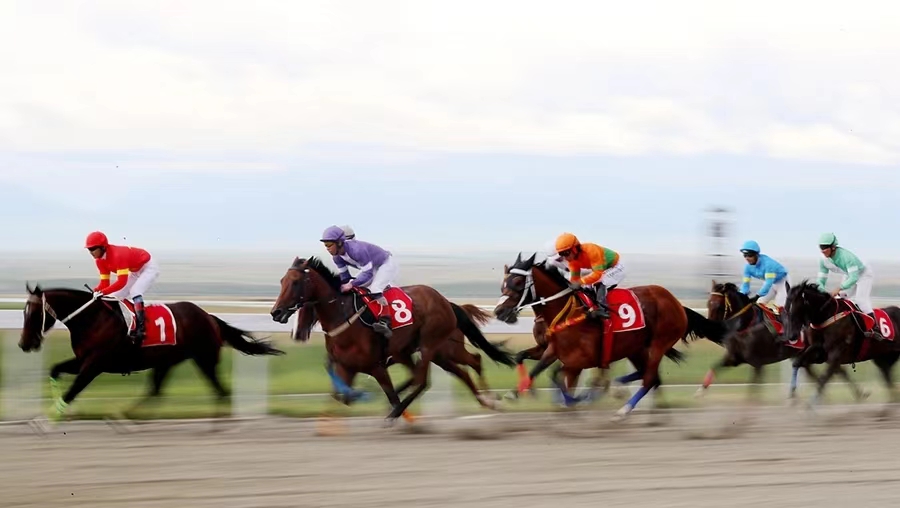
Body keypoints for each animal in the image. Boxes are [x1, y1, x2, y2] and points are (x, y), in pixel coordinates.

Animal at [18, 286, 284, 420]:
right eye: (23, 311)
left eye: (34, 313)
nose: (24, 344)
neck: (92, 319)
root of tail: (209, 316)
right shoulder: (83, 360)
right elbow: (55, 370)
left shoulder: (94, 365)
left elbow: (72, 391)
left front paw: (49, 419)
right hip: (167, 361)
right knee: (156, 390)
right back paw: (126, 415)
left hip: (204, 359)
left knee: (220, 390)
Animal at [268, 256, 516, 422]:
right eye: (281, 281)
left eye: (296, 282)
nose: (276, 313)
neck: (344, 316)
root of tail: (447, 302)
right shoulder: (346, 368)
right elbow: (341, 397)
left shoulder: (376, 366)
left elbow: (390, 394)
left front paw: (397, 411)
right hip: (440, 353)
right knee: (464, 369)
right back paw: (486, 400)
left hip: (432, 345)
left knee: (434, 375)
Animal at [492, 254, 724, 420]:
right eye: (503, 283)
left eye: (517, 282)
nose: (499, 312)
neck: (569, 311)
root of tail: (676, 303)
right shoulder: (552, 349)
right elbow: (528, 361)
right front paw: (514, 394)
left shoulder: (581, 359)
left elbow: (556, 375)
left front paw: (574, 400)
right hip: (636, 347)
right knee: (650, 376)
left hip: (660, 342)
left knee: (649, 377)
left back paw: (623, 409)